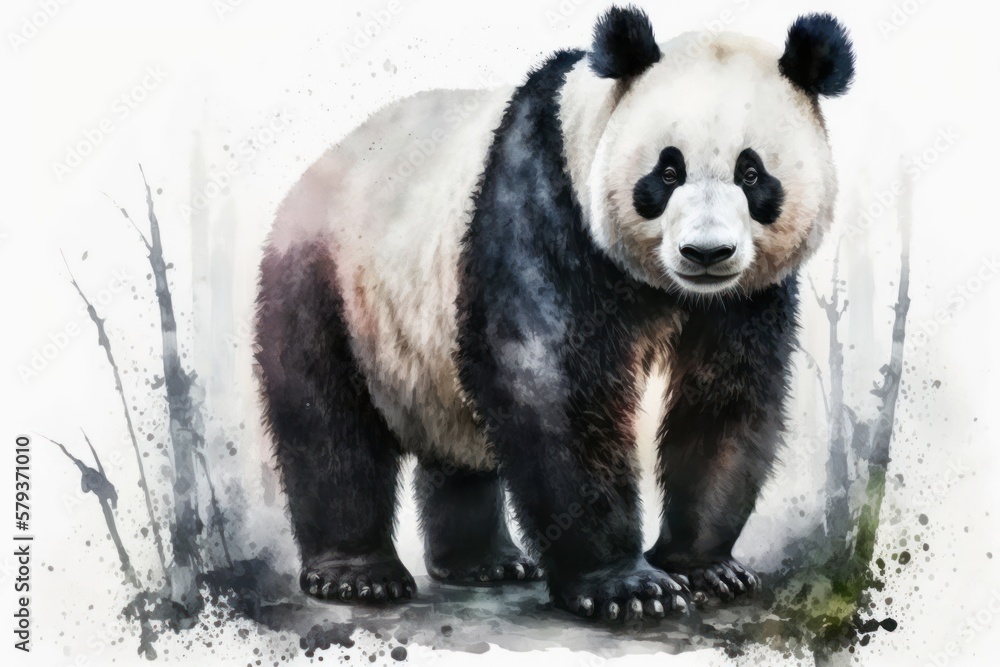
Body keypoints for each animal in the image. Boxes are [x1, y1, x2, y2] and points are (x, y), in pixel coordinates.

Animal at [254, 6, 854, 621]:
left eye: (751, 174)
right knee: (326, 421)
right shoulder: (541, 203)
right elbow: (550, 382)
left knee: (455, 439)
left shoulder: (746, 294)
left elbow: (727, 393)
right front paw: (626, 585)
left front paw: (704, 566)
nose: (706, 253)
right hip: (329, 277)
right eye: (667, 173)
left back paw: (482, 563)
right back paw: (357, 575)